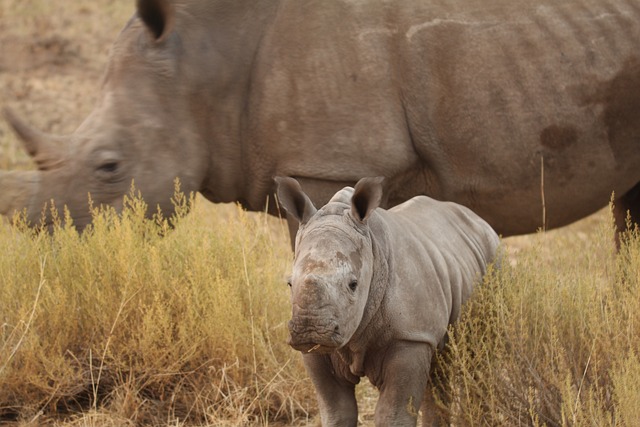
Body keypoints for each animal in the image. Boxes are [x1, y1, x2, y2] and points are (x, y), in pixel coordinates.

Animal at [276, 177, 500, 427]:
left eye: (353, 284)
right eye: (289, 284)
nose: (311, 330)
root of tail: (482, 222)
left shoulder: (410, 336)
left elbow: (392, 413)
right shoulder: (317, 352)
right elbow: (337, 411)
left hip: (493, 256)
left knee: (480, 356)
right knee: (439, 369)